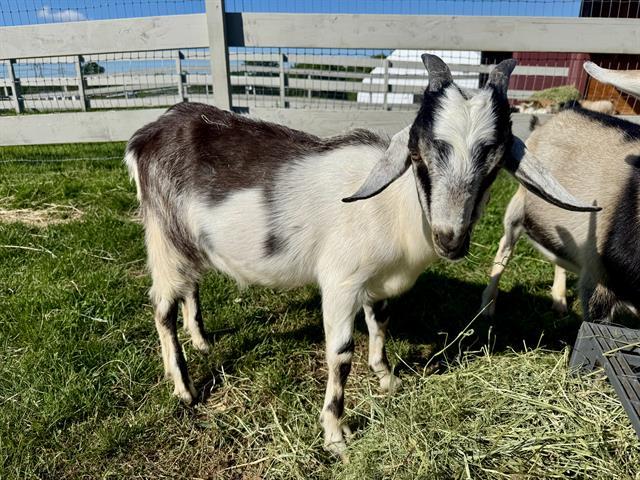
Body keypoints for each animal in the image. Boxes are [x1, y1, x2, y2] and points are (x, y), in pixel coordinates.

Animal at [125, 55, 597, 457]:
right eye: (418, 157)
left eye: (494, 165)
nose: (450, 239)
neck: (393, 205)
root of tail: (145, 137)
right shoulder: (341, 282)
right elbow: (341, 354)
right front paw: (336, 434)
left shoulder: (378, 281)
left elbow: (380, 323)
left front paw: (387, 378)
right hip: (165, 239)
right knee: (161, 308)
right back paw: (184, 388)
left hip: (188, 246)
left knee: (189, 289)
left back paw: (202, 341)